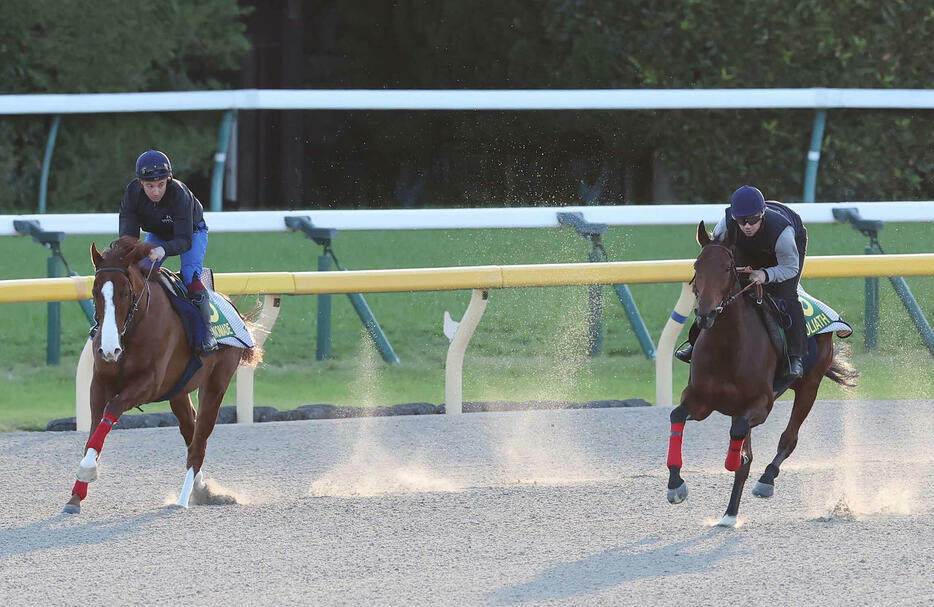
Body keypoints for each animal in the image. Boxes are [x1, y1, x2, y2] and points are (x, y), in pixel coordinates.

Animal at [63, 236, 260, 512]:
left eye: (125, 293)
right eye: (94, 292)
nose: (110, 349)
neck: (132, 330)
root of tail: (231, 305)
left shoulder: (148, 385)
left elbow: (112, 408)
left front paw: (88, 470)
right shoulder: (99, 383)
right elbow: (93, 431)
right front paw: (75, 496)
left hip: (216, 384)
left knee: (199, 442)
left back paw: (183, 499)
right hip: (178, 391)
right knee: (190, 431)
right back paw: (202, 490)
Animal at [664, 222, 864, 528]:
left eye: (727, 268)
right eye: (697, 265)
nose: (705, 315)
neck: (728, 347)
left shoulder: (761, 404)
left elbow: (741, 442)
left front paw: (735, 462)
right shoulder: (700, 400)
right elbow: (677, 416)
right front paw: (676, 485)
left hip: (809, 386)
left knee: (788, 438)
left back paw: (766, 480)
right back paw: (729, 514)